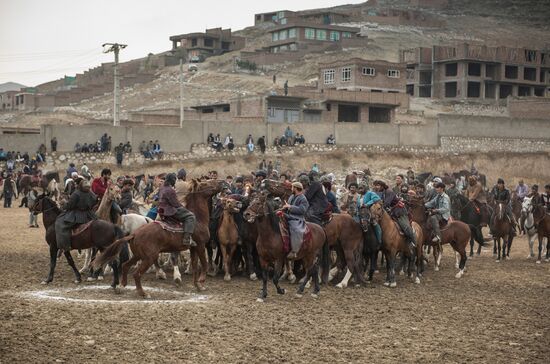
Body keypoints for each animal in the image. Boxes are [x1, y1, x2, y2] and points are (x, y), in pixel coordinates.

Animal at [94, 178, 227, 298]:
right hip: (149, 257)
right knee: (137, 274)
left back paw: (121, 287)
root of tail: (135, 234)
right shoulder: (200, 245)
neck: (198, 219)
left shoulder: (193, 248)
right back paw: (143, 293)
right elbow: (203, 264)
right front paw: (202, 281)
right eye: (206, 183)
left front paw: (198, 285)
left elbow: (195, 266)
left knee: (126, 265)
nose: (222, 183)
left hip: (139, 255)